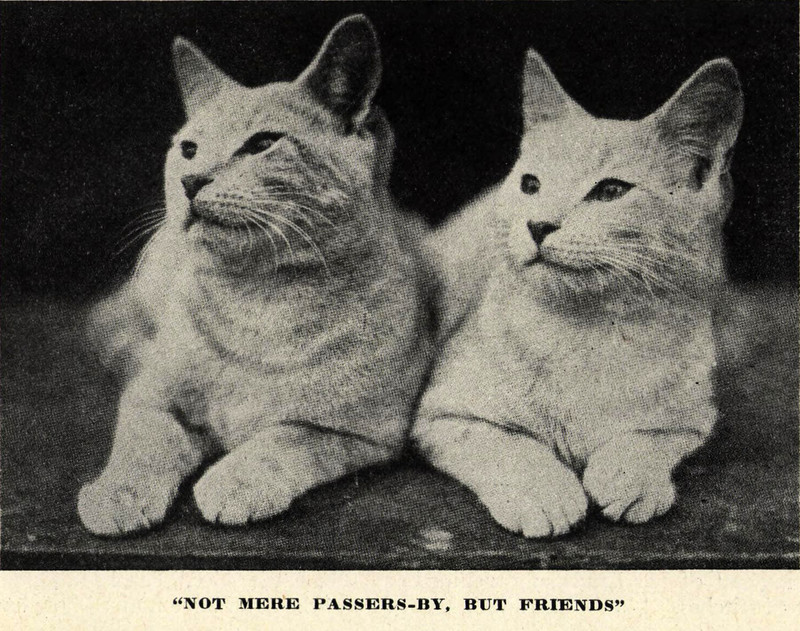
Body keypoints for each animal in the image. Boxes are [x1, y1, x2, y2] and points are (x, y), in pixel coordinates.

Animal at [78, 15, 433, 535]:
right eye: (189, 149)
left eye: (263, 144)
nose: (191, 180)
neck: (259, 299)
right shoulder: (151, 394)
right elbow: (143, 441)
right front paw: (118, 495)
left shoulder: (362, 433)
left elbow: (281, 441)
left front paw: (234, 484)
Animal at [413, 50, 743, 538]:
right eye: (530, 185)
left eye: (611, 191)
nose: (538, 224)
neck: (585, 331)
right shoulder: (444, 414)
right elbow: (510, 446)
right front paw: (544, 492)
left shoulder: (692, 420)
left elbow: (649, 438)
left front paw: (629, 476)